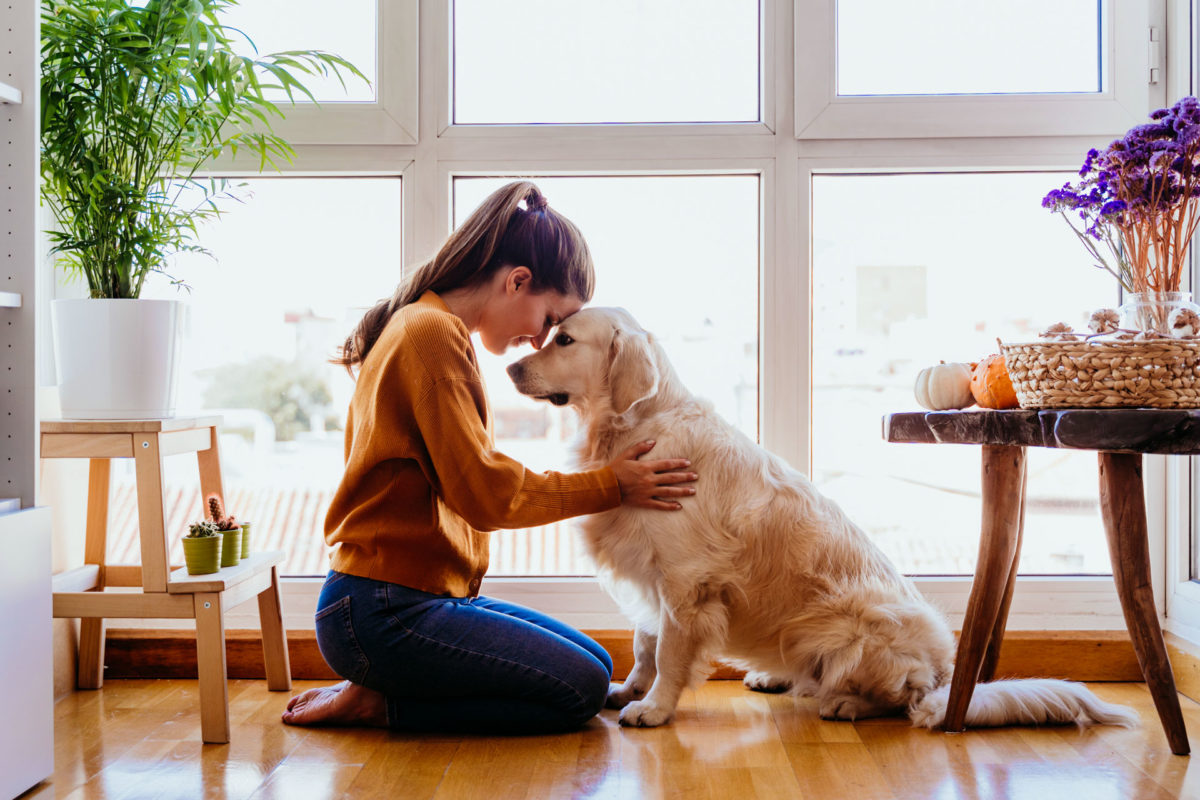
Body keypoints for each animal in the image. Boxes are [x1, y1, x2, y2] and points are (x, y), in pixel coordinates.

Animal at [501, 307, 1137, 734]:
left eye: (564, 339)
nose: (508, 369)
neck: (634, 427)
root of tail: (944, 675)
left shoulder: (685, 581)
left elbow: (671, 653)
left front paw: (653, 707)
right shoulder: (651, 575)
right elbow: (644, 642)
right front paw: (628, 689)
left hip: (851, 627)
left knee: (899, 700)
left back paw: (845, 703)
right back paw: (776, 677)